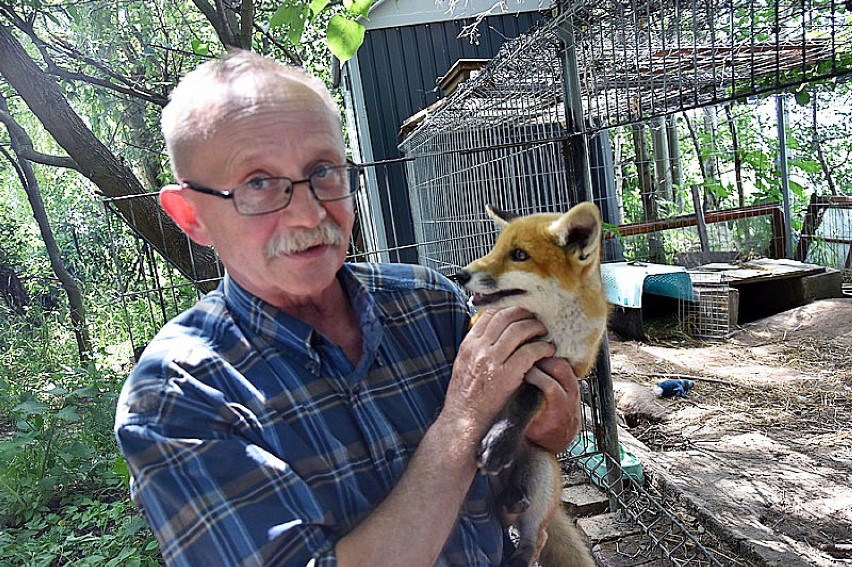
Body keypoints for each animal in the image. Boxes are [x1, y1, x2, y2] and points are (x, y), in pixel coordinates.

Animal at [456, 202, 608, 567]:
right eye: (495, 248)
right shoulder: (479, 328)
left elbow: (528, 398)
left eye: (519, 255)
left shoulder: (562, 368)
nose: (459, 275)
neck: (552, 328)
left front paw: (501, 439)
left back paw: (519, 542)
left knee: (535, 536)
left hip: (541, 470)